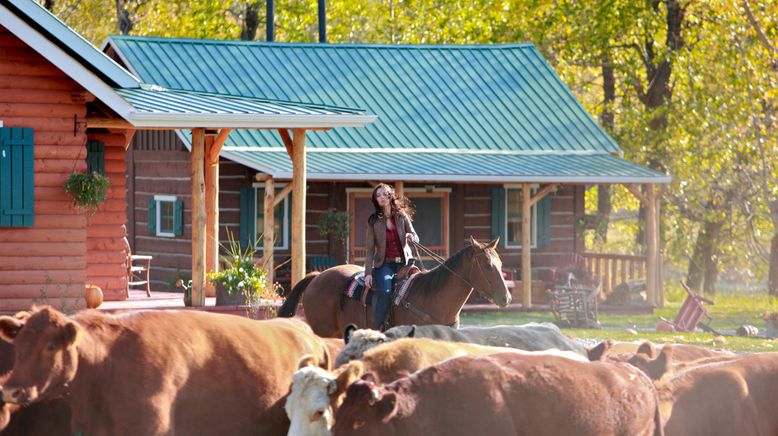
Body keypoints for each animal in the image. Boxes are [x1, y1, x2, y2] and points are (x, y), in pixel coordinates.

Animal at [278, 238, 510, 338]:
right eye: (487, 266)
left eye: (500, 264)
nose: (506, 298)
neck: (431, 298)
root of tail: (317, 276)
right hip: (324, 330)